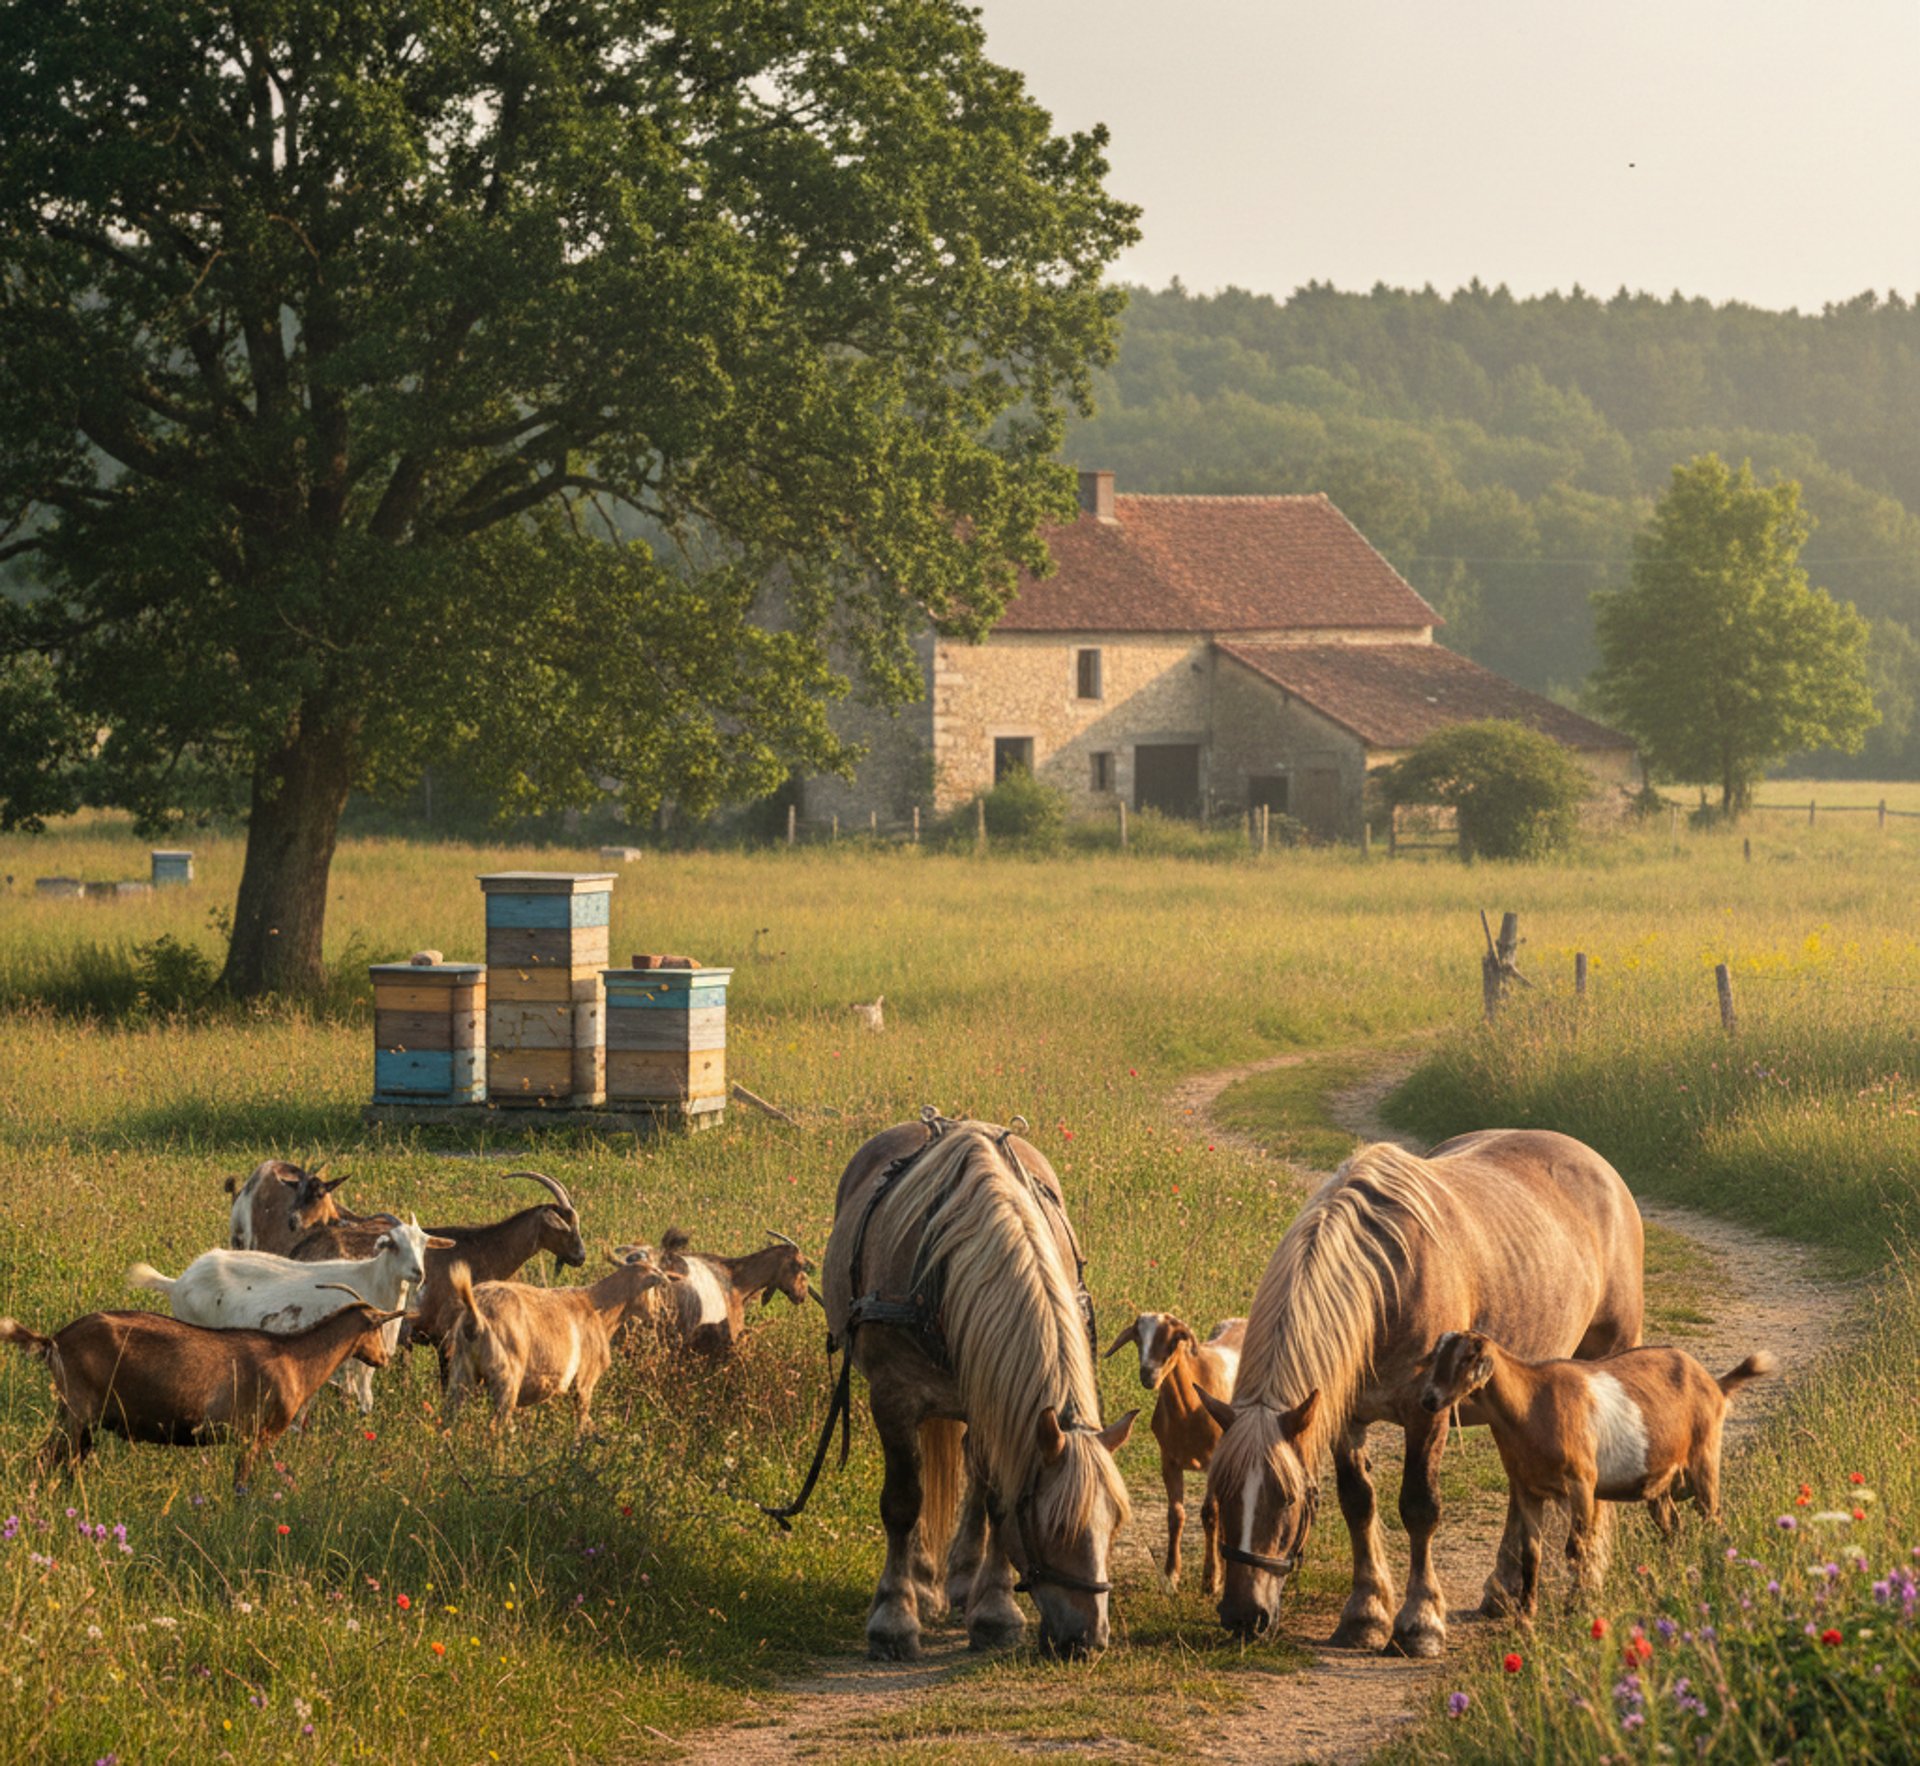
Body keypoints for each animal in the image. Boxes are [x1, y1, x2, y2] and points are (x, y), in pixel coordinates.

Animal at [820, 1116, 1137, 1661]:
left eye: (1114, 1522)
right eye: (1056, 1528)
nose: (1089, 1641)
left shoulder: (995, 1400)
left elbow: (994, 1499)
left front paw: (993, 1611)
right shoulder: (893, 1398)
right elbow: (903, 1501)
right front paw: (893, 1618)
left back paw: (963, 1579)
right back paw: (924, 1584)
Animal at [1200, 1129, 1644, 1656]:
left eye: (1288, 1498)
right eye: (1219, 1494)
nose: (1243, 1616)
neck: (1387, 1282)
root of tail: (1597, 1164)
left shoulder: (1426, 1415)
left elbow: (1419, 1508)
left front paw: (1420, 1623)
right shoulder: (1346, 1417)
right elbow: (1358, 1504)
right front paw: (1365, 1614)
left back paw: (1588, 1582)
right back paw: (1503, 1588)